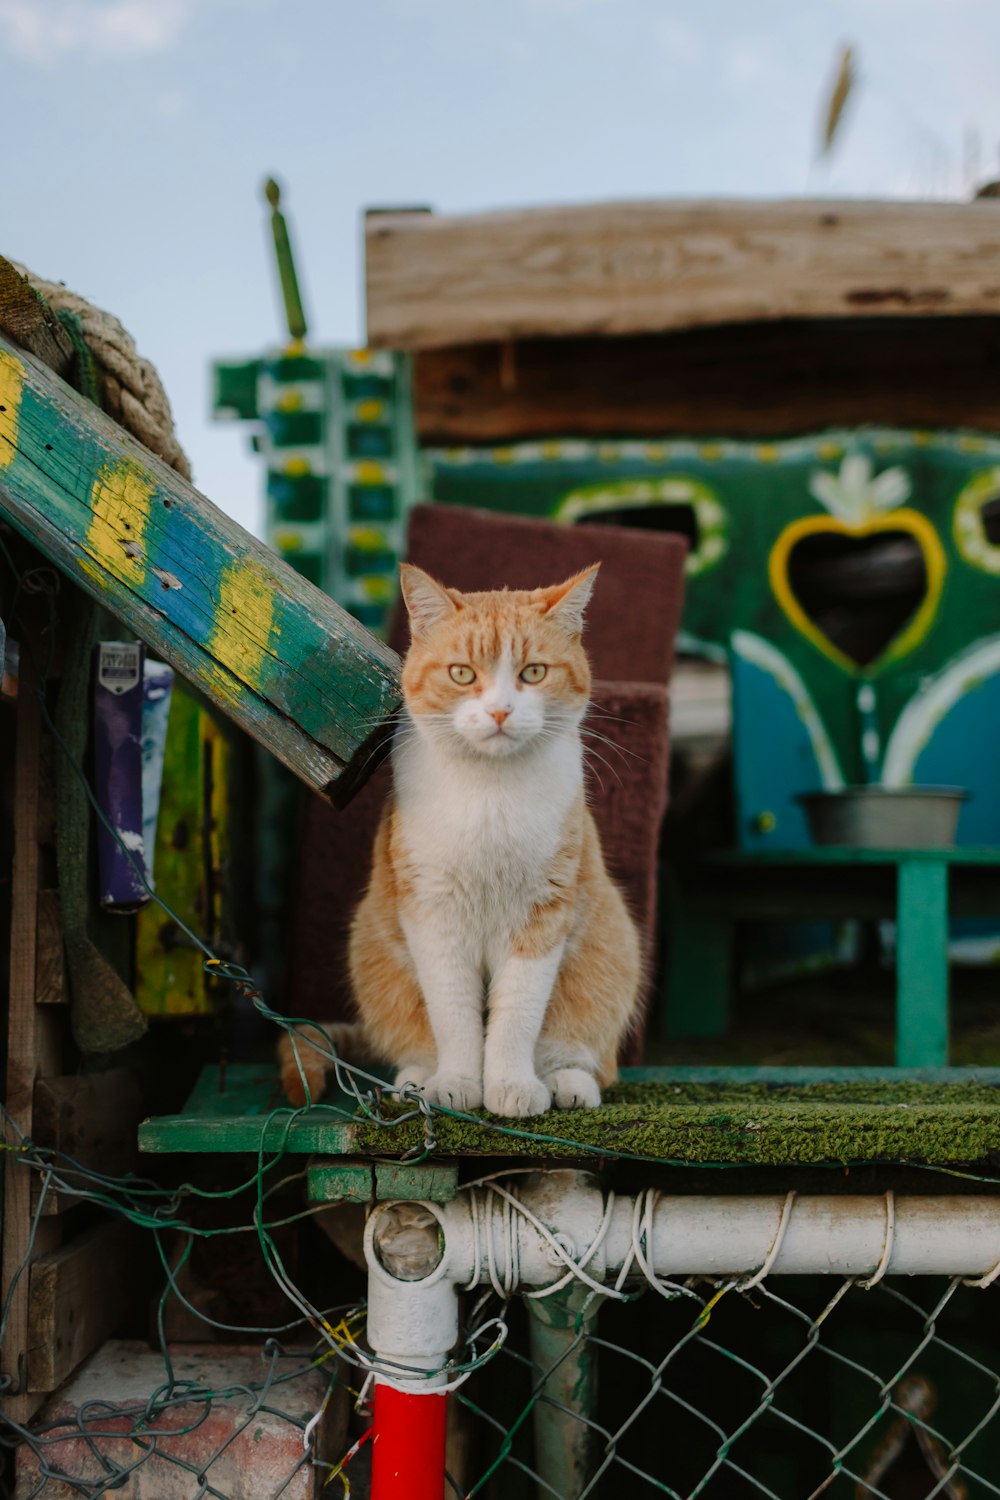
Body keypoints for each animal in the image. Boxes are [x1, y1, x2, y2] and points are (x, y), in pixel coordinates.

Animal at [281, 564, 641, 1116]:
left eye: (533, 673)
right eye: (462, 674)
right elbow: (454, 1016)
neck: (489, 793)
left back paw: (568, 1082)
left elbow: (516, 1016)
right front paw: (456, 1082)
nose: (500, 712)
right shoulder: (433, 915)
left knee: (584, 1053)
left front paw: (511, 1086)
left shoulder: (541, 916)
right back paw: (415, 1080)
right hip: (374, 950)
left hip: (607, 951)